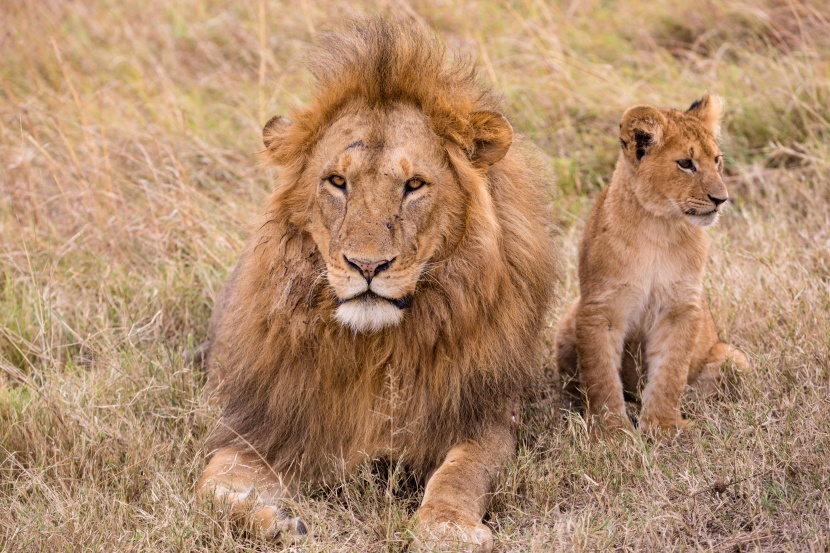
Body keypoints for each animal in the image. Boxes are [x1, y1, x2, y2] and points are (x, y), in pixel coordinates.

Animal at [197, 19, 560, 548]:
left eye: (414, 185)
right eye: (336, 182)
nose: (367, 266)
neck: (375, 351)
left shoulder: (485, 415)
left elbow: (461, 472)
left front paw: (446, 527)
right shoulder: (265, 425)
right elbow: (209, 490)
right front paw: (279, 520)